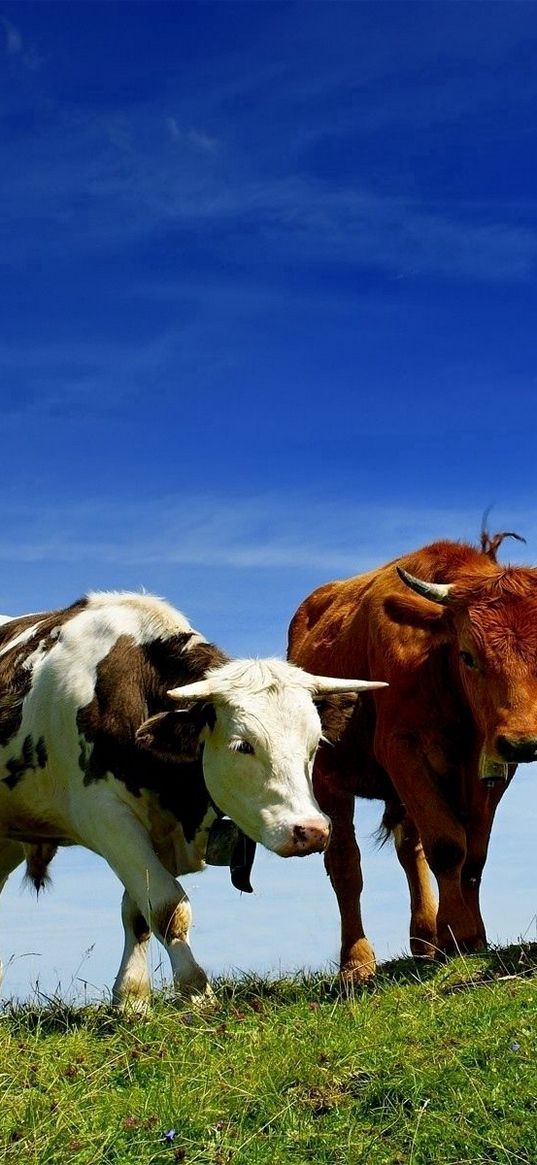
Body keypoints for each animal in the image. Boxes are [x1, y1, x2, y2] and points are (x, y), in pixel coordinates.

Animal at [0, 596, 382, 1006]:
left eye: (315, 745)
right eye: (242, 745)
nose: (311, 830)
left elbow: (138, 911)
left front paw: (132, 998)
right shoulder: (106, 818)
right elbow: (166, 906)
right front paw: (195, 990)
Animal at [286, 533, 533, 983]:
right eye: (468, 655)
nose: (524, 742)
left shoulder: (492, 767)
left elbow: (475, 854)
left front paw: (470, 936)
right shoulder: (400, 747)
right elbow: (448, 845)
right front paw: (458, 932)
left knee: (409, 852)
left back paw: (424, 940)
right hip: (329, 779)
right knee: (345, 864)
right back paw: (356, 962)